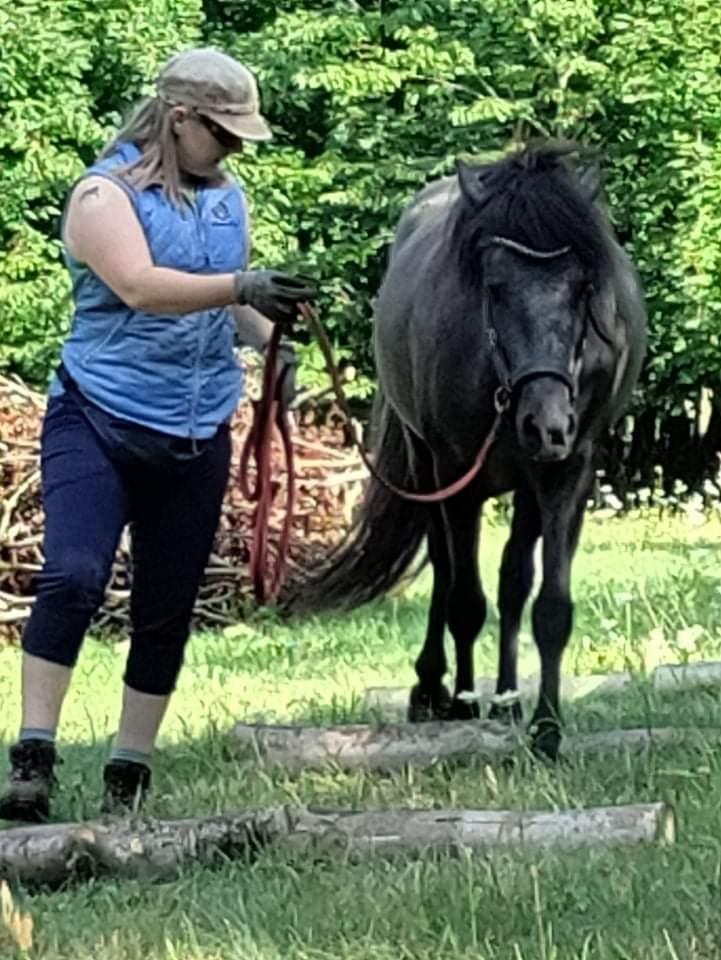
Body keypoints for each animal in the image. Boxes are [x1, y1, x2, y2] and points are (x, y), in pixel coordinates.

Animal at [290, 144, 644, 756]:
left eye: (582, 286)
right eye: (495, 286)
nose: (547, 424)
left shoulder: (567, 475)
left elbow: (548, 607)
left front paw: (545, 728)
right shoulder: (457, 475)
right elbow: (463, 600)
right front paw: (460, 703)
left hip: (526, 483)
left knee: (511, 583)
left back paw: (505, 700)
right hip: (428, 471)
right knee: (446, 576)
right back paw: (439, 690)